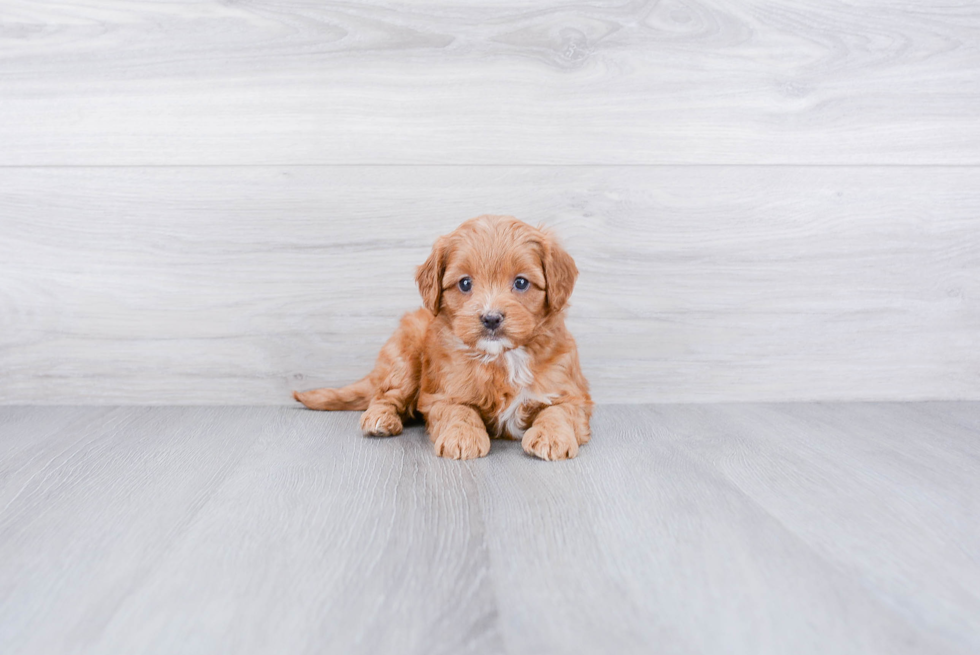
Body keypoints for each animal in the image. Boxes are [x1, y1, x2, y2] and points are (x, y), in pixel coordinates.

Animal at [294, 215, 592, 462]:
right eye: (465, 283)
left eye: (521, 283)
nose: (491, 318)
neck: (501, 358)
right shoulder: (443, 393)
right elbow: (459, 411)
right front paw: (462, 437)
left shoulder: (572, 391)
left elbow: (559, 411)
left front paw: (552, 436)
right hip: (404, 356)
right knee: (385, 394)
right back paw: (380, 419)